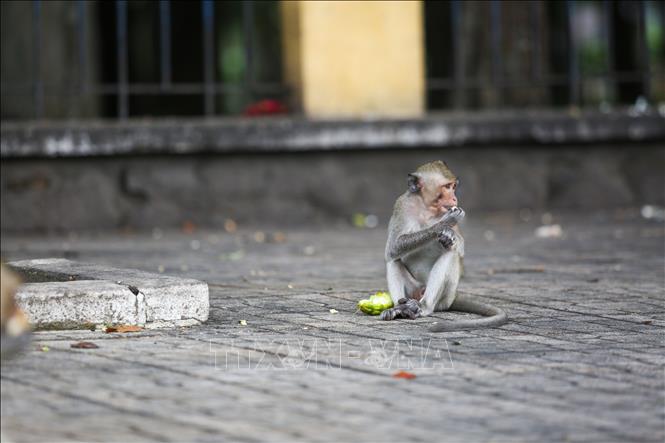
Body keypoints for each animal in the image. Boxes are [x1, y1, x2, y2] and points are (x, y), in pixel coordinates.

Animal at [382, 161, 506, 332]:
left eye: (453, 186)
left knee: (451, 253)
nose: (454, 198)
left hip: (444, 298)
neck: (427, 208)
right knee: (393, 260)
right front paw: (444, 224)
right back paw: (398, 309)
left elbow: (460, 247)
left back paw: (423, 307)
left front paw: (449, 232)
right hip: (413, 289)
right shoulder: (402, 204)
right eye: (447, 187)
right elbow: (393, 247)